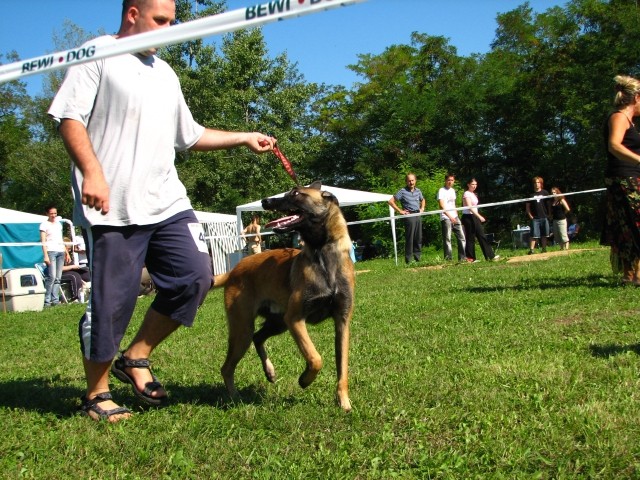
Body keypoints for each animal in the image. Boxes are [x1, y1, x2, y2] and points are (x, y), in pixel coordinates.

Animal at [214, 182, 356, 410]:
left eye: (296, 193)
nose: (265, 201)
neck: (323, 254)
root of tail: (234, 270)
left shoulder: (342, 323)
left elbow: (342, 368)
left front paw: (343, 402)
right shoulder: (295, 319)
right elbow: (315, 358)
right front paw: (305, 379)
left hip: (276, 323)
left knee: (258, 338)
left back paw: (269, 372)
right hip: (244, 329)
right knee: (227, 367)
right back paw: (235, 398)